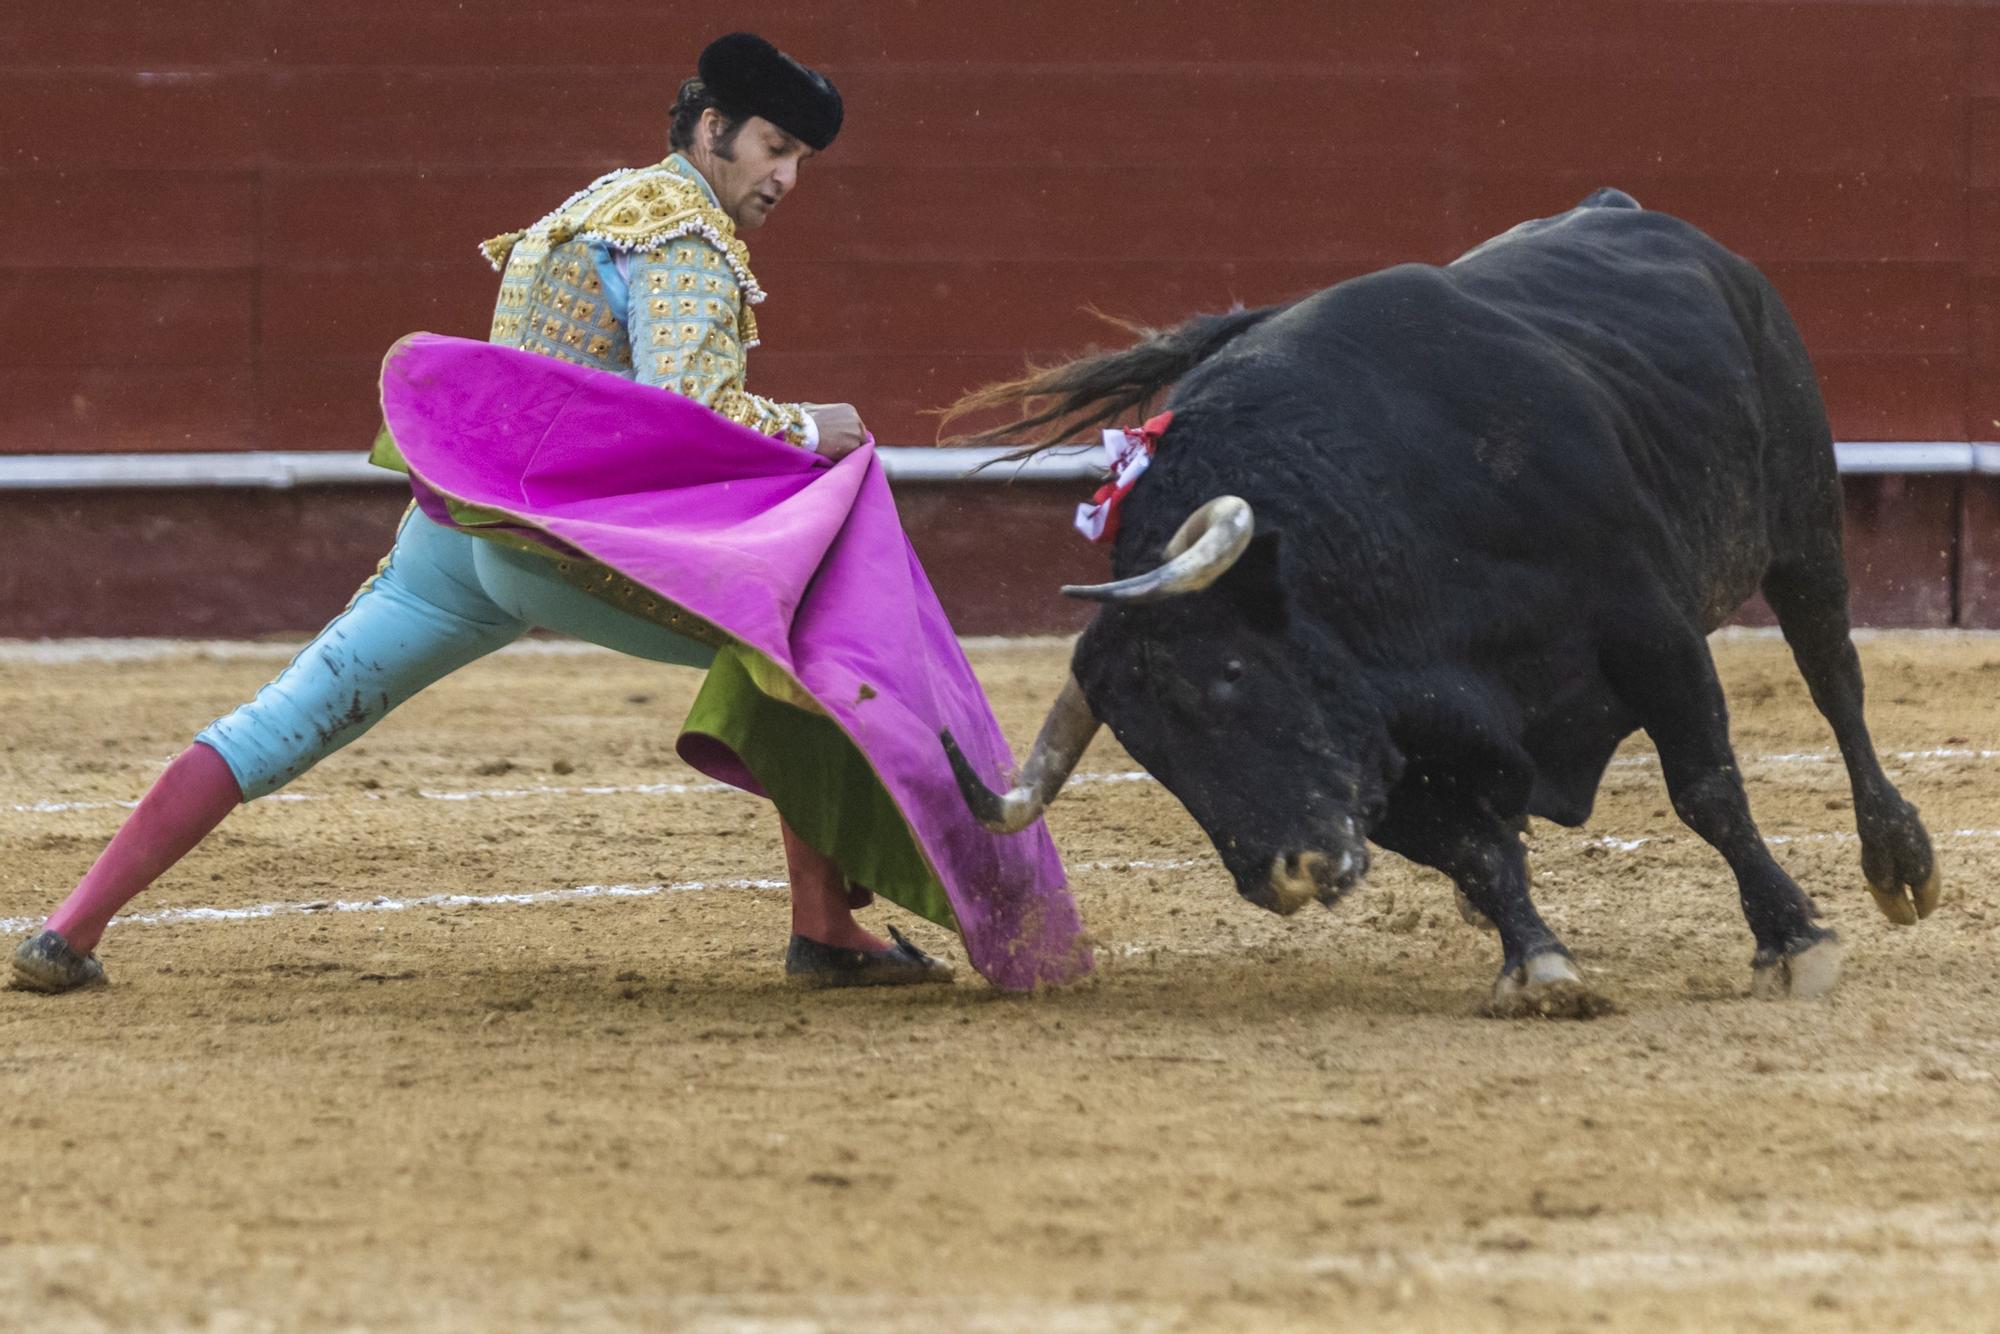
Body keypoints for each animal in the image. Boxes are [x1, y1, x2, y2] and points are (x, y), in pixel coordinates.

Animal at [948, 193, 1936, 1016]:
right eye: (1145, 751)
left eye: (1229, 671)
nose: (1284, 876)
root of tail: (1634, 213)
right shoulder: (1383, 753)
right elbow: (1477, 851)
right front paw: (1537, 966)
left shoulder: (1651, 633)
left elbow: (1707, 791)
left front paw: (1794, 942)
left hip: (1806, 524)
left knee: (1834, 679)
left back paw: (1900, 861)